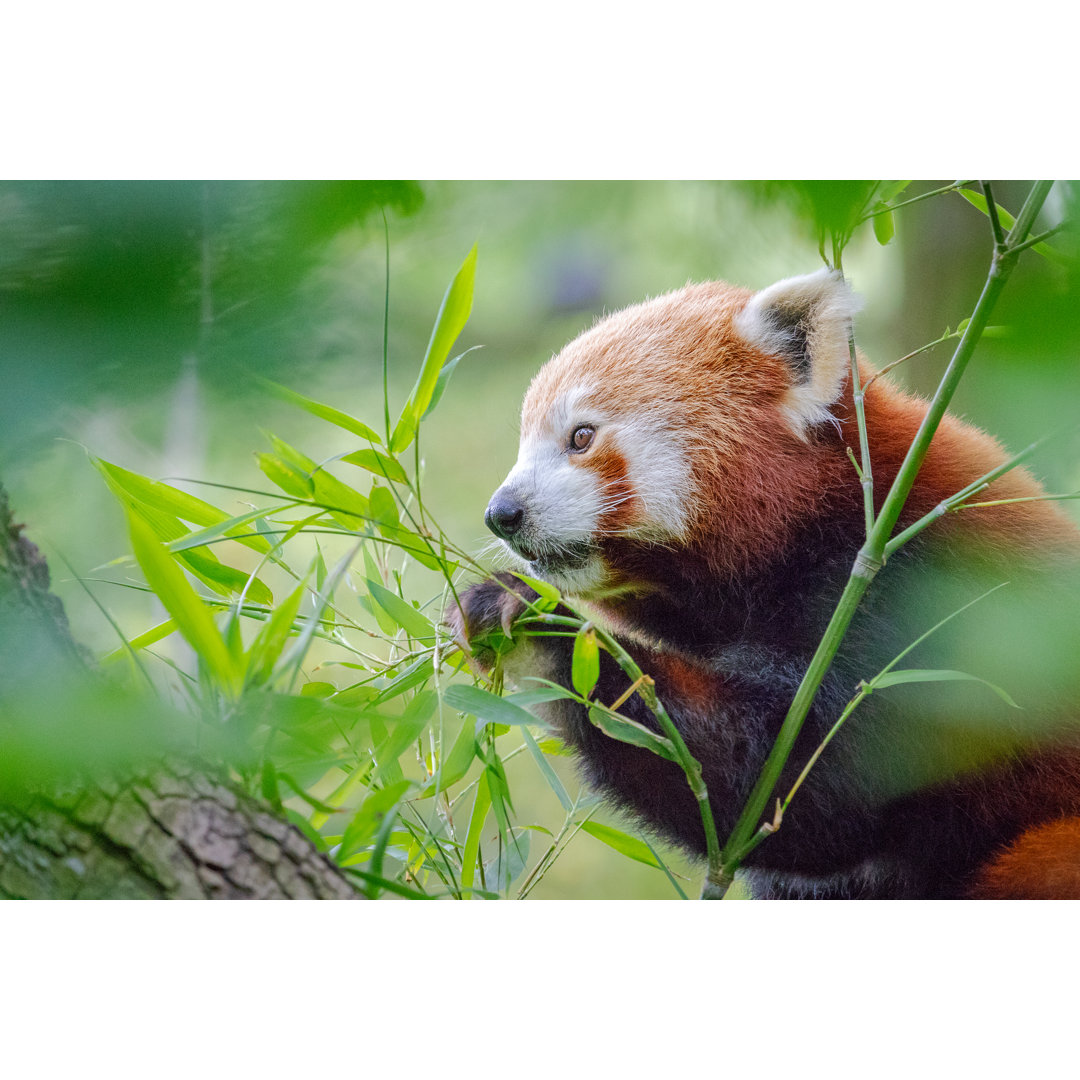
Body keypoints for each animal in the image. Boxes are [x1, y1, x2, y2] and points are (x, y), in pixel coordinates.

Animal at [452, 269, 1080, 899]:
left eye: (580, 437)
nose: (502, 514)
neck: (838, 515)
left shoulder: (935, 599)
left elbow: (805, 784)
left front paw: (537, 628)